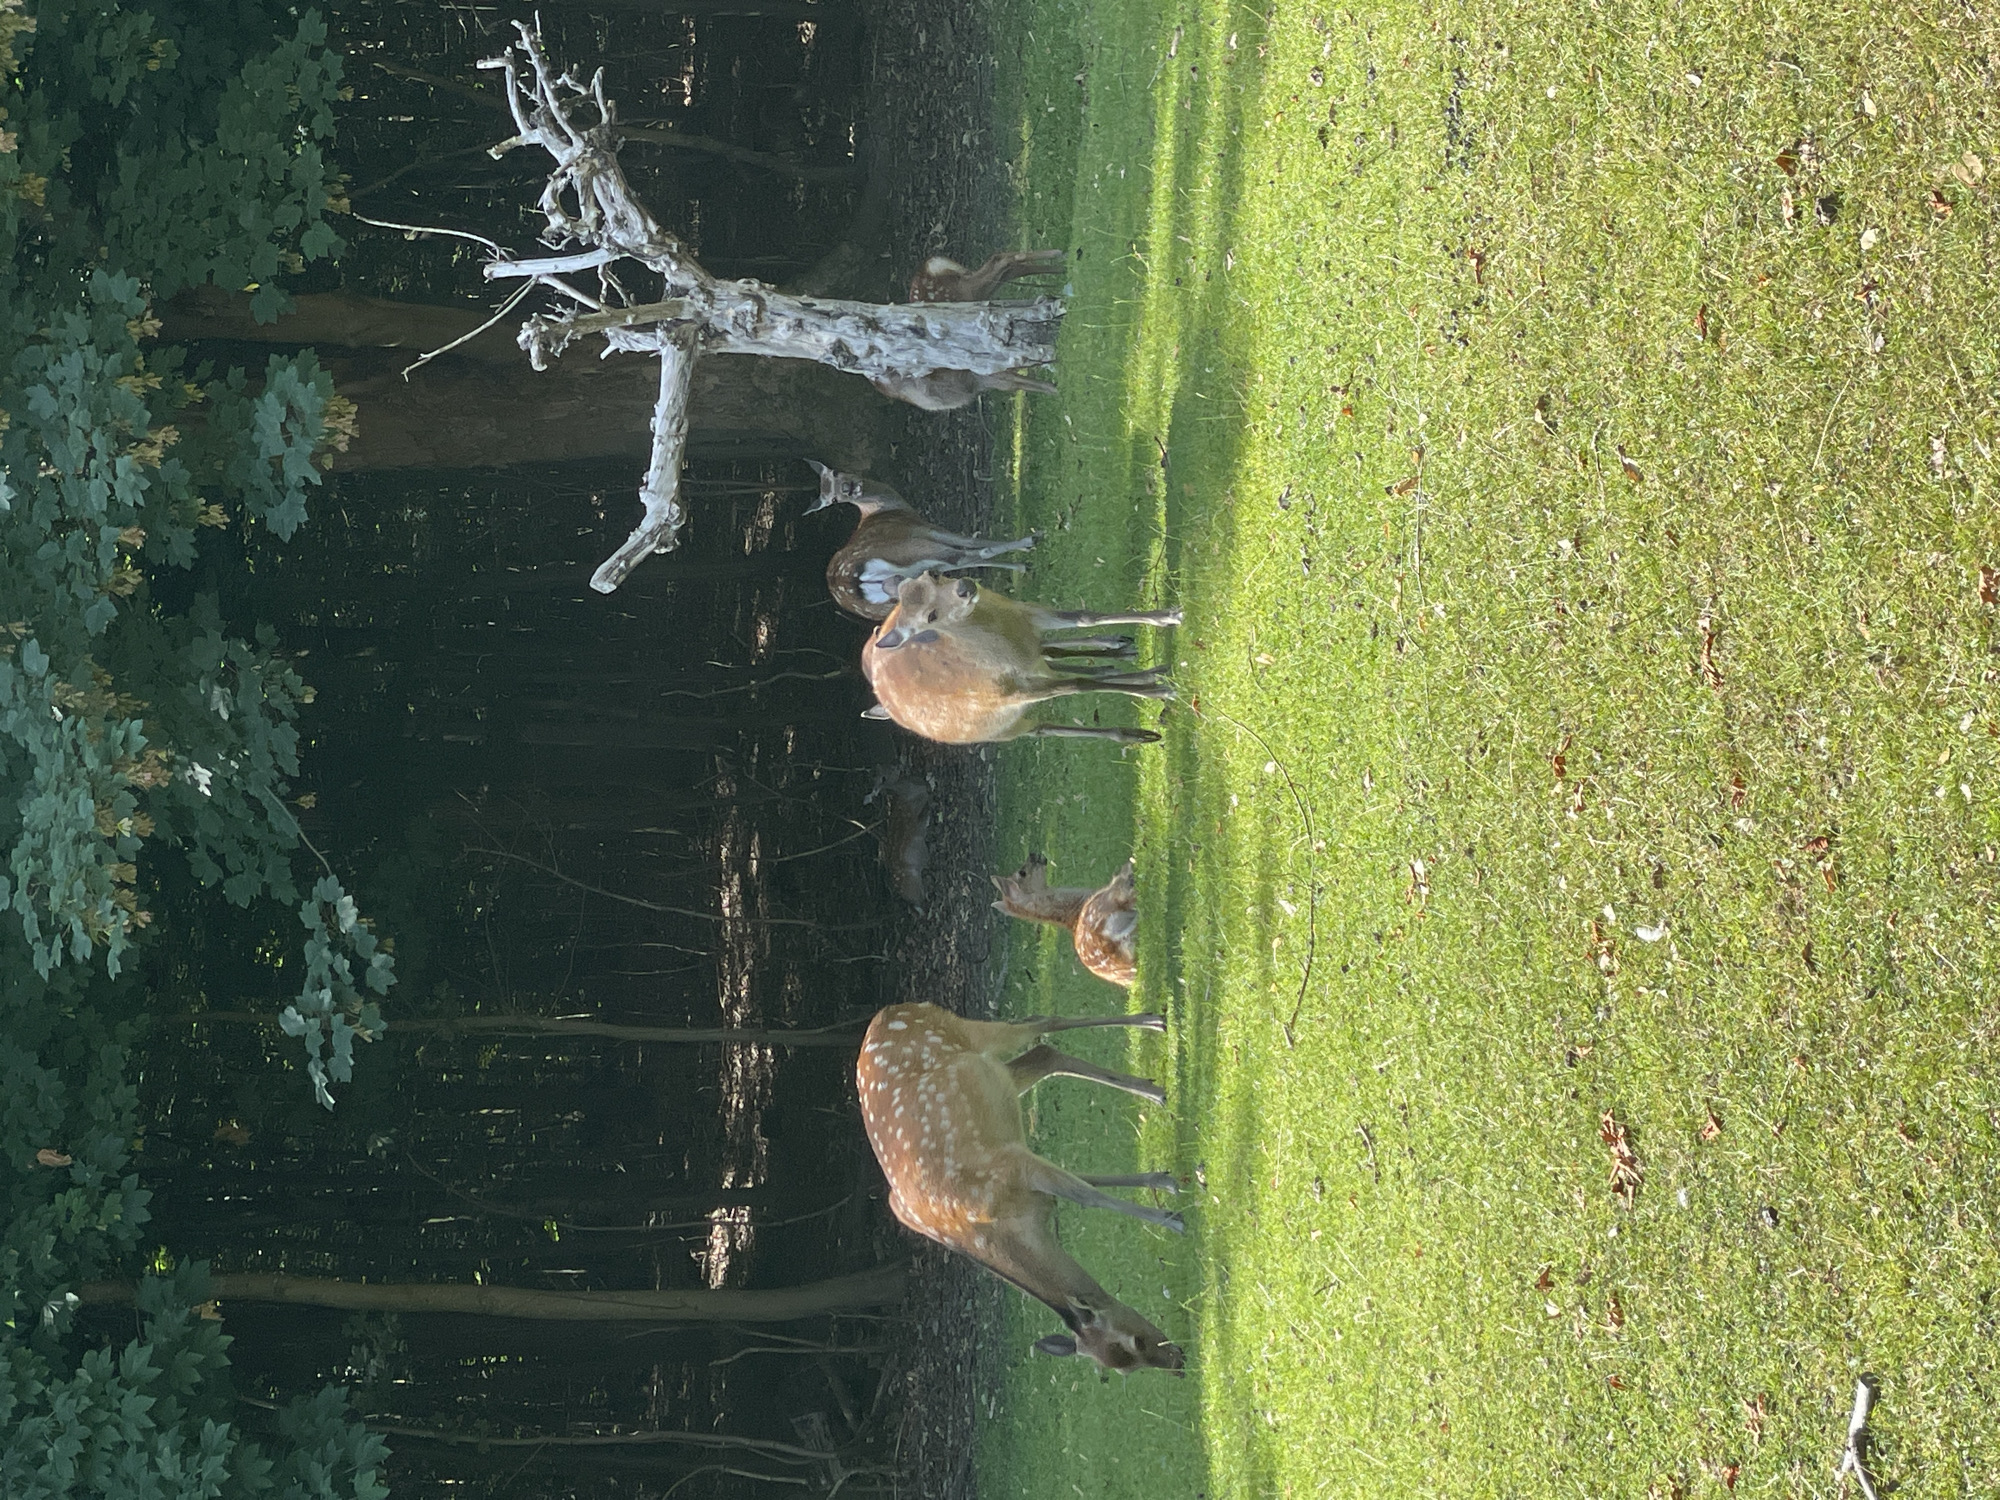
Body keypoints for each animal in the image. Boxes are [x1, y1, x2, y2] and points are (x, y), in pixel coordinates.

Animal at [806, 462, 1036, 621]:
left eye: (836, 473)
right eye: (833, 498)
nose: (849, 487)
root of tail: (851, 580)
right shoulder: (926, 530)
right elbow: (971, 544)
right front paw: (1025, 552)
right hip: (914, 549)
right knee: (963, 556)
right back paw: (1028, 548)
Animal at [855, 1002, 1186, 1374]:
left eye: (1134, 1344)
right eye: (1126, 1360)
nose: (1178, 1360)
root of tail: (890, 1011)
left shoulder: (1013, 1165)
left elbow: (1087, 1194)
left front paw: (1173, 1218)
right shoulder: (1020, 1162)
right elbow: (1087, 1184)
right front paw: (1164, 1184)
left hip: (970, 1033)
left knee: (1039, 1024)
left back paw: (1154, 1025)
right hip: (1001, 1077)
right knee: (1045, 1053)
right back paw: (1156, 1083)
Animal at [861, 574, 1179, 745]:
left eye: (934, 573)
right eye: (931, 616)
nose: (965, 587)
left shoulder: (1027, 615)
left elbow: (1084, 617)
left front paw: (1169, 615)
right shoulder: (1014, 692)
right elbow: (1078, 684)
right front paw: (1161, 690)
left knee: (1054, 658)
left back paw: (1124, 655)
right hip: (1004, 730)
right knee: (1042, 726)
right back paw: (1139, 729)